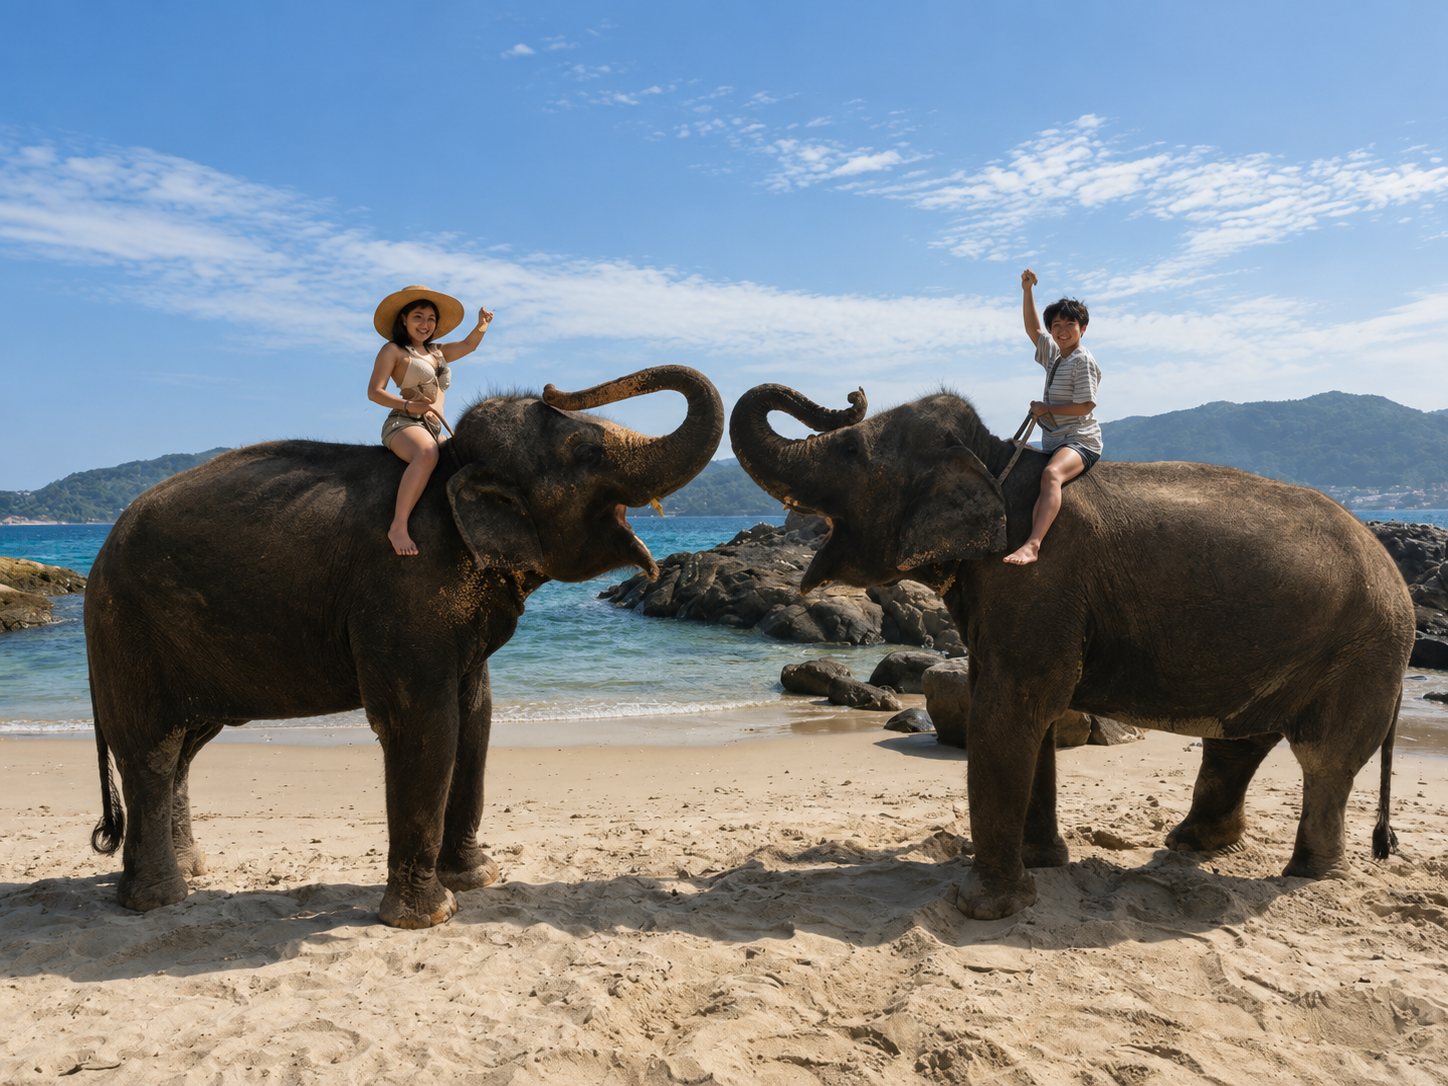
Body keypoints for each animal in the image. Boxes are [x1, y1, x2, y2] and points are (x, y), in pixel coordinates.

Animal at [86, 365, 723, 928]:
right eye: (587, 453)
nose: (553, 387)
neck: (451, 466)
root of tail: (98, 555)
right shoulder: (404, 588)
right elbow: (424, 722)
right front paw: (429, 916)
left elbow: (476, 718)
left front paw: (477, 878)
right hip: (128, 632)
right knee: (152, 747)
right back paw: (160, 900)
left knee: (186, 746)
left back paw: (188, 872)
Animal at [730, 383, 1415, 920]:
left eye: (851, 449)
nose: (852, 397)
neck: (997, 460)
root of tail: (1396, 574)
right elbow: (1025, 716)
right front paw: (1043, 866)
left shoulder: (1037, 578)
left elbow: (1011, 709)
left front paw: (986, 908)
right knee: (1237, 742)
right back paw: (1194, 847)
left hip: (1363, 653)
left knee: (1324, 758)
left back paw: (1310, 874)